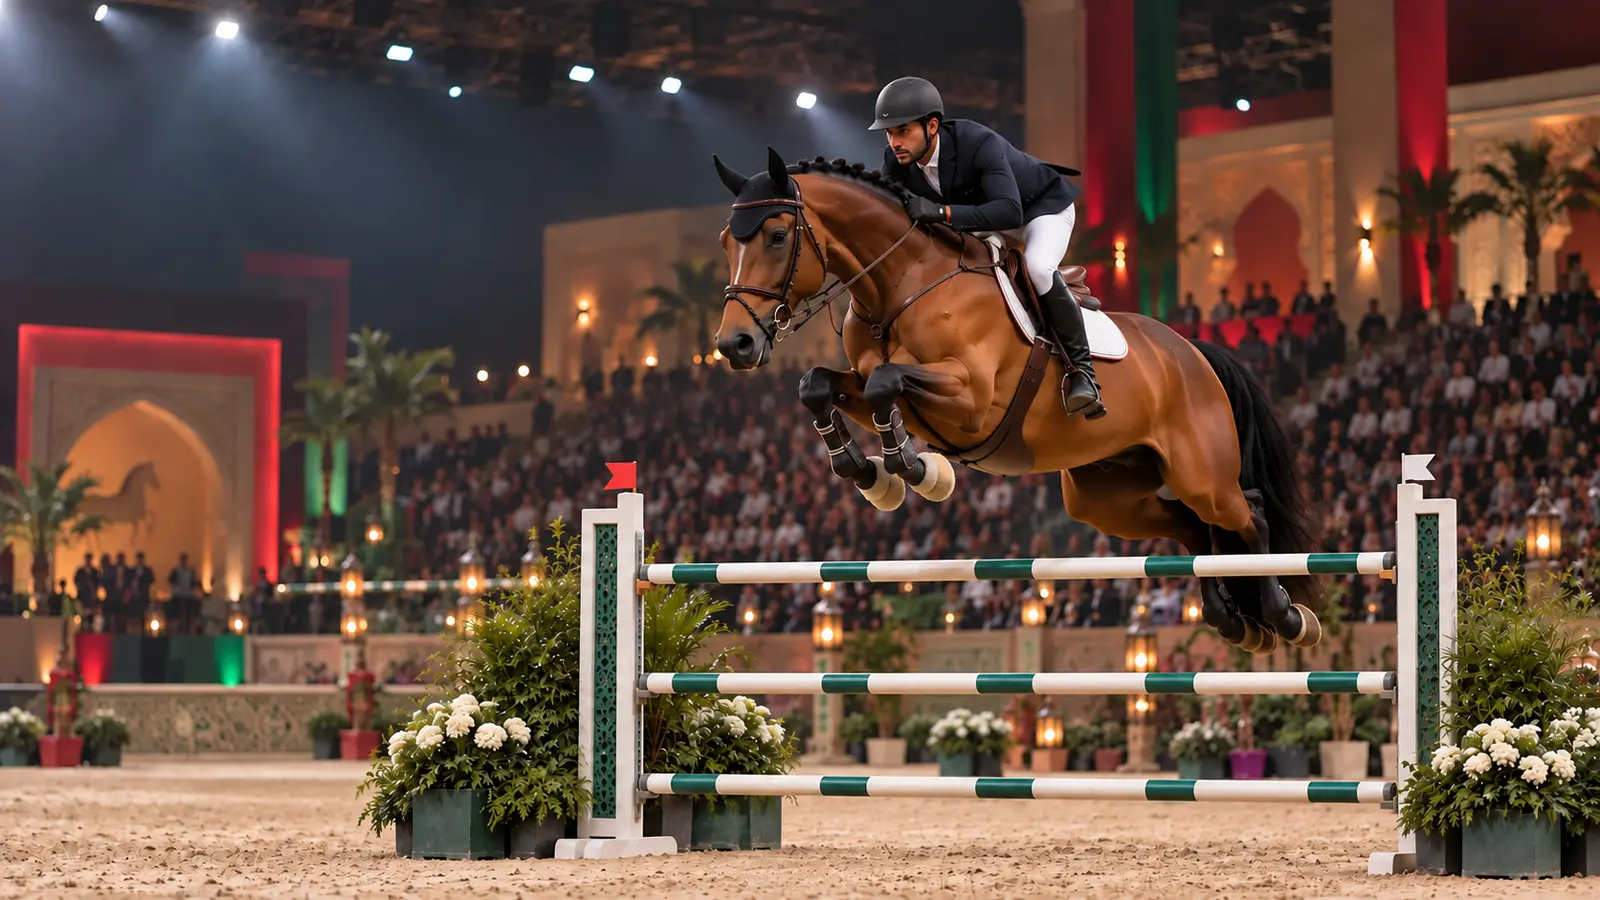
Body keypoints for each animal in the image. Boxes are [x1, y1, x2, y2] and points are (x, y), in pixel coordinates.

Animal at [708, 148, 1322, 653]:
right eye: (725, 241)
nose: (734, 345)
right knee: (1194, 529)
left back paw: (1283, 616)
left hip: (1201, 473)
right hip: (1109, 496)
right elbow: (818, 384)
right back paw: (1233, 620)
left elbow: (887, 381)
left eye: (777, 236)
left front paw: (913, 469)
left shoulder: (972, 398)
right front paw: (867, 473)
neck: (901, 281)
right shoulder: (870, 384)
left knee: (1248, 513)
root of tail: (1194, 351)